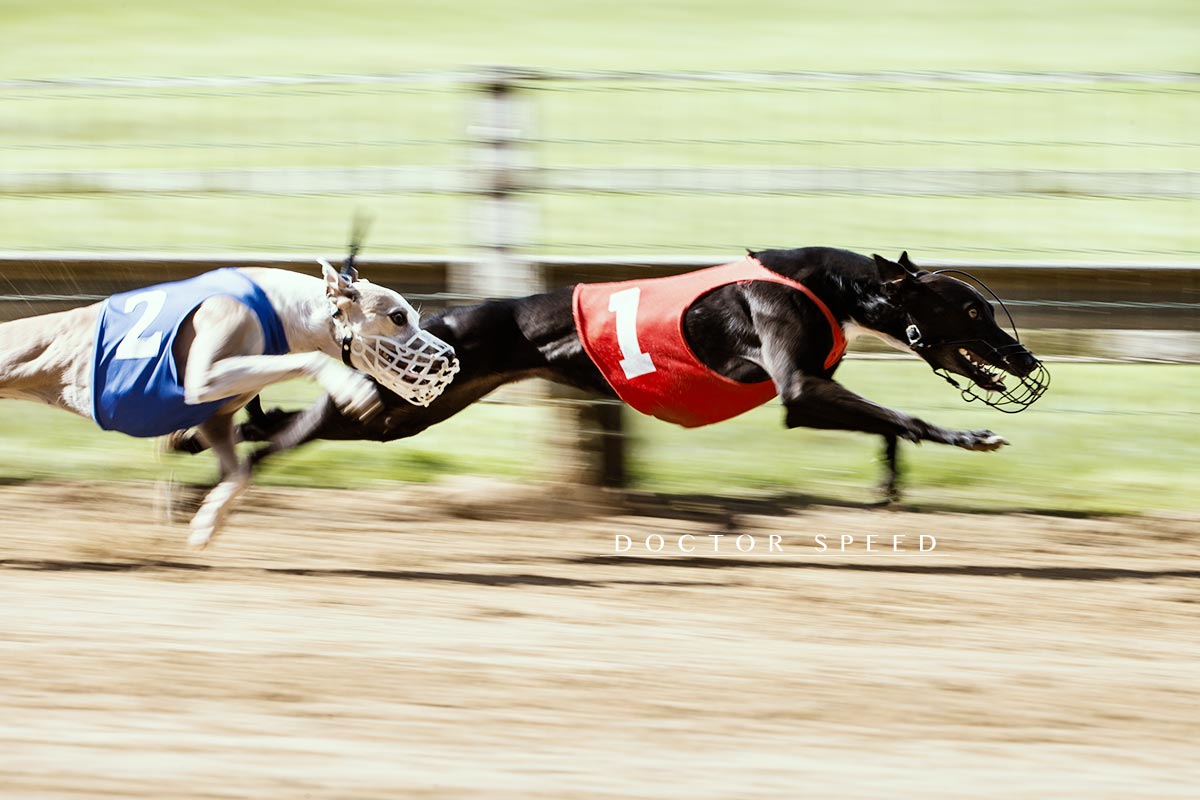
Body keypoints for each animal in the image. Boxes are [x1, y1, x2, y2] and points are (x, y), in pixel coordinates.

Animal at [0, 258, 458, 546]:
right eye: (397, 317)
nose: (451, 358)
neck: (283, 306)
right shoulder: (205, 375)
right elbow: (305, 361)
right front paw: (351, 388)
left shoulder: (213, 417)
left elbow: (239, 473)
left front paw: (208, 522)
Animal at [187, 246, 1049, 500]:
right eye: (970, 311)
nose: (1026, 360)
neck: (831, 284)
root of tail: (436, 322)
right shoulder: (798, 384)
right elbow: (899, 414)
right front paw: (970, 438)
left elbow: (887, 424)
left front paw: (891, 482)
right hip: (389, 406)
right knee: (288, 428)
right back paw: (207, 461)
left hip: (410, 412)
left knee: (293, 423)